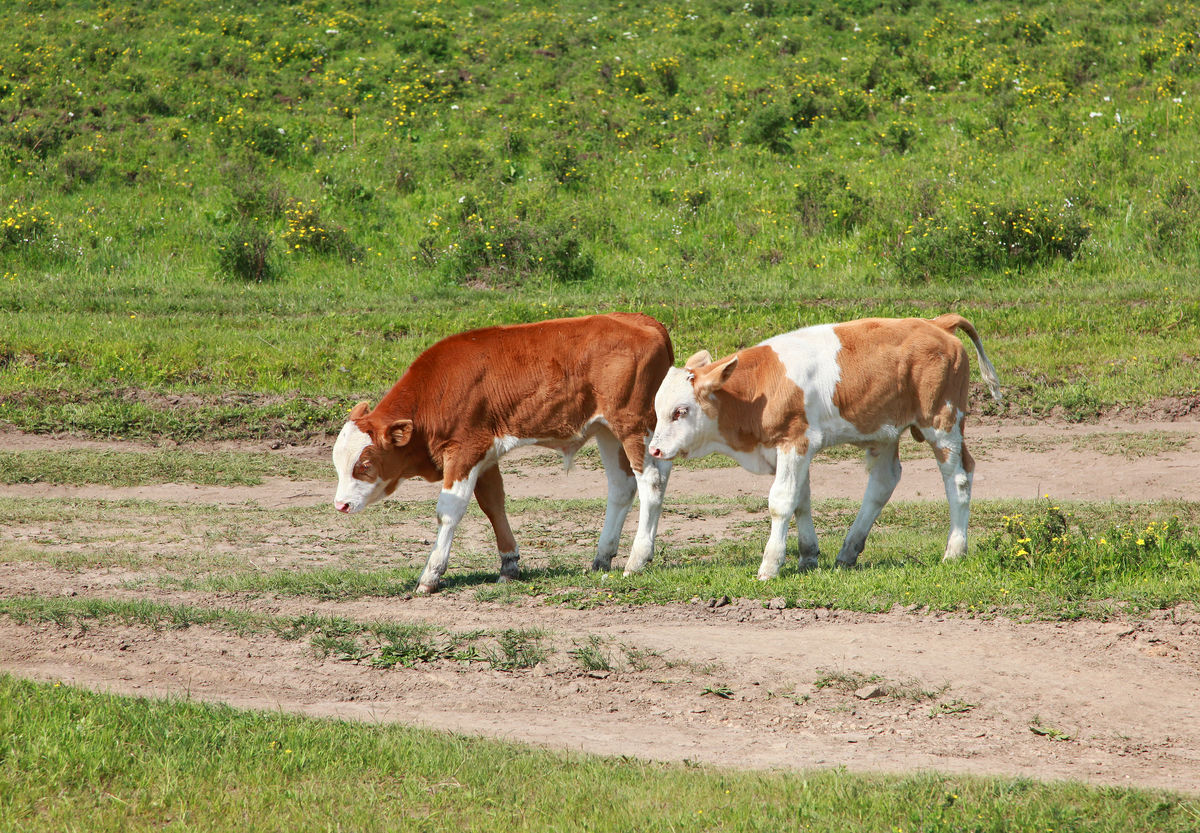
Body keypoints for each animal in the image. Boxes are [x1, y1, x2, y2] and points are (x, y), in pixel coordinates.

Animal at [336, 312, 676, 592]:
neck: (437, 390)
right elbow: (492, 504)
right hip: (607, 430)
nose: (340, 505)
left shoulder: (465, 450)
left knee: (651, 483)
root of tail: (645, 321)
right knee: (622, 486)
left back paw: (637, 560)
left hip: (633, 425)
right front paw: (509, 565)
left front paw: (431, 574)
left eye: (364, 463)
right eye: (338, 465)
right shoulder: (485, 456)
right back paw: (602, 557)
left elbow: (449, 510)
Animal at [648, 312, 1003, 580]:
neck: (759, 388)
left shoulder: (795, 442)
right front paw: (808, 556)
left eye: (680, 411)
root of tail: (936, 322)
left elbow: (782, 501)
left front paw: (770, 566)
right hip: (886, 431)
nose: (654, 451)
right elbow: (801, 500)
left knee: (958, 478)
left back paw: (955, 550)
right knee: (883, 482)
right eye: (657, 408)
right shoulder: (793, 451)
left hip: (942, 423)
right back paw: (848, 551)